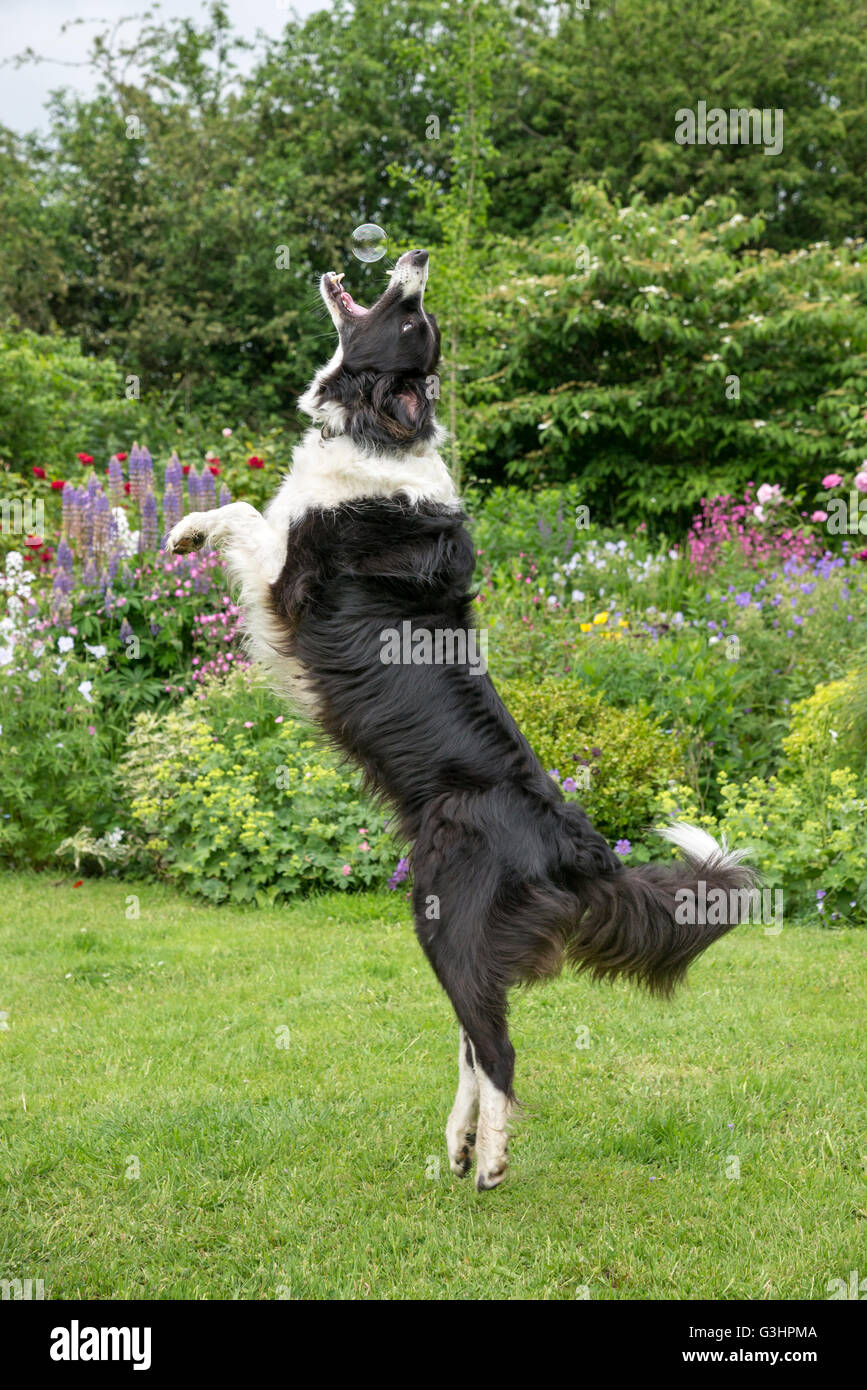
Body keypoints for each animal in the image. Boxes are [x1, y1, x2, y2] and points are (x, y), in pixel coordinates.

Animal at [167, 250, 750, 1195]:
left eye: (413, 322)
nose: (415, 259)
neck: (376, 429)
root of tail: (574, 839)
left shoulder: (287, 581)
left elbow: (247, 514)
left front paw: (185, 527)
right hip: (466, 931)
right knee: (478, 1040)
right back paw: (462, 1141)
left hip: (443, 915)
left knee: (497, 1048)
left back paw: (492, 1160)